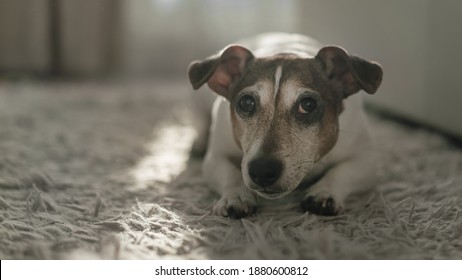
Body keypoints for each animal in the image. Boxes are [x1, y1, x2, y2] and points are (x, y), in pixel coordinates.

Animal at [186, 31, 380, 218]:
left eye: (308, 105)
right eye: (246, 102)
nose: (262, 170)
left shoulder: (367, 159)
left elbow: (341, 172)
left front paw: (324, 193)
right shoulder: (215, 157)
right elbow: (231, 174)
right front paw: (236, 196)